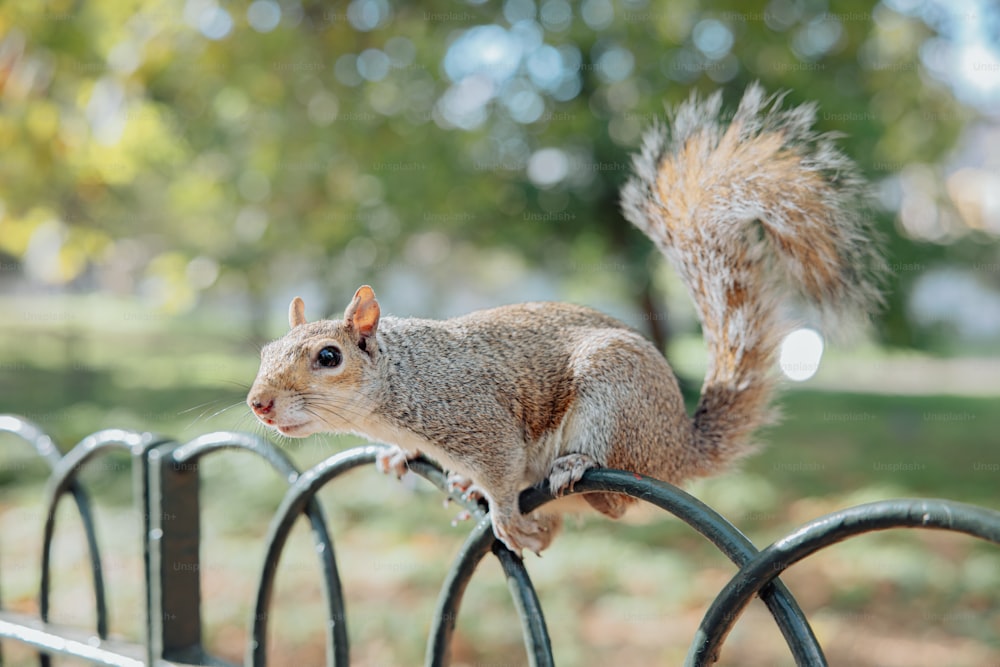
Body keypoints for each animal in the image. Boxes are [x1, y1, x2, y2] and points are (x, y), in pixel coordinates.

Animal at [246, 85, 880, 560]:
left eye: (329, 357)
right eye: (265, 351)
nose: (258, 403)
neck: (401, 383)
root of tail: (679, 447)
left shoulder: (479, 421)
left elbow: (501, 472)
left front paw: (501, 513)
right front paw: (394, 457)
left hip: (616, 400)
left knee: (616, 499)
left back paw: (575, 469)